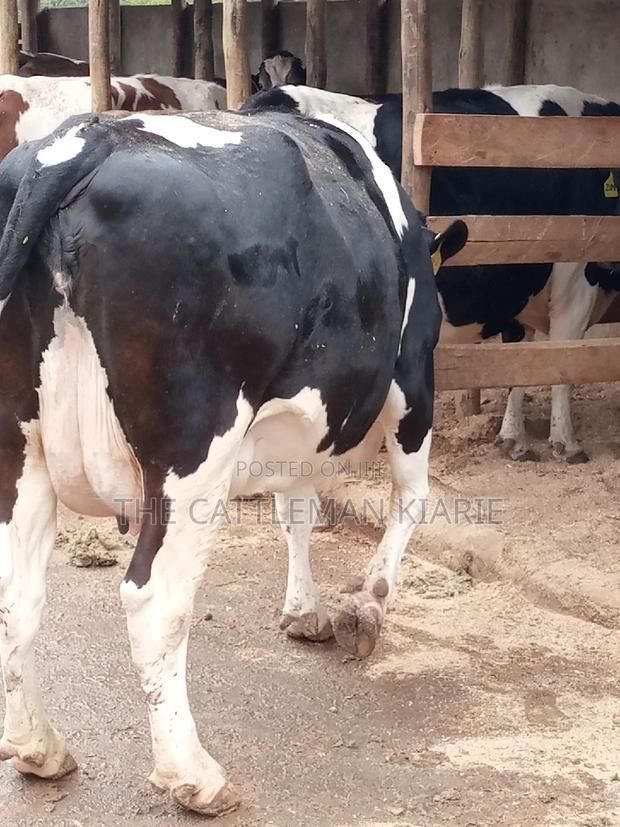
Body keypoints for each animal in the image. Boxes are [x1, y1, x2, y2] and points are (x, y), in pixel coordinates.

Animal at [0, 109, 464, 813]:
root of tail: (83, 139)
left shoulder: (299, 427)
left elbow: (296, 510)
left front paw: (304, 611)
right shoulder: (415, 376)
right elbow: (411, 497)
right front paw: (367, 604)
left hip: (18, 446)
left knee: (16, 593)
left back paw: (39, 748)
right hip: (194, 451)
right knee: (155, 600)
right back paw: (194, 774)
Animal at [243, 83, 620, 463]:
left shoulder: (518, 289)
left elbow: (523, 363)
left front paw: (514, 437)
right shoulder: (575, 281)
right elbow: (563, 359)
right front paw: (566, 442)